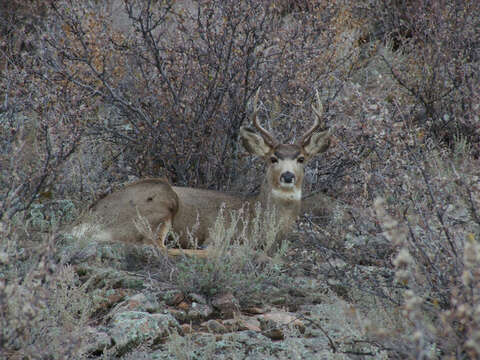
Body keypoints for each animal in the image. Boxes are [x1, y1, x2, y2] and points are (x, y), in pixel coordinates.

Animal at [74, 91, 330, 258]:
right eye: (273, 158)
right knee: (154, 246)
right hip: (160, 199)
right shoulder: (224, 230)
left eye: (301, 159)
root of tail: (84, 221)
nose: (287, 176)